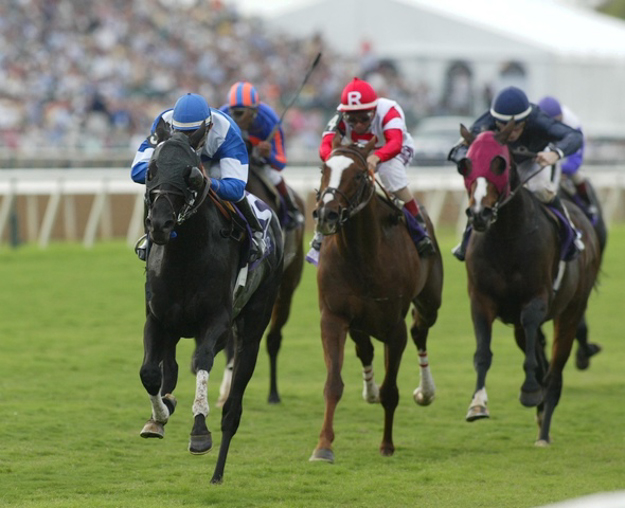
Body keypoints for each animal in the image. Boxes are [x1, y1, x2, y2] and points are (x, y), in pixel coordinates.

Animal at [138, 124, 282, 484]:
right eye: (150, 171)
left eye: (190, 174)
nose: (159, 225)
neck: (186, 254)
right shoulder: (156, 317)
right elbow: (150, 372)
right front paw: (158, 416)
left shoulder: (217, 321)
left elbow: (203, 360)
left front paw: (200, 431)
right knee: (170, 367)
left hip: (255, 322)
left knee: (233, 408)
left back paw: (218, 472)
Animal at [310, 137, 442, 462]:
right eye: (323, 169)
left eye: (359, 175)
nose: (327, 215)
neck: (361, 255)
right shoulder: (333, 317)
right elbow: (333, 384)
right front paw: (323, 446)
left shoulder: (394, 327)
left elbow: (390, 390)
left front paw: (387, 444)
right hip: (359, 322)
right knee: (365, 348)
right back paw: (368, 390)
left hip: (429, 302)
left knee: (420, 330)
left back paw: (426, 391)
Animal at [458, 124, 600, 444]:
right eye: (465, 165)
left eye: (499, 163)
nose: (479, 214)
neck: (506, 236)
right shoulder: (480, 299)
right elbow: (483, 353)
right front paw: (477, 404)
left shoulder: (535, 299)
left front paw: (530, 391)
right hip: (519, 327)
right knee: (539, 356)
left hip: (571, 311)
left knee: (556, 373)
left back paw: (544, 432)